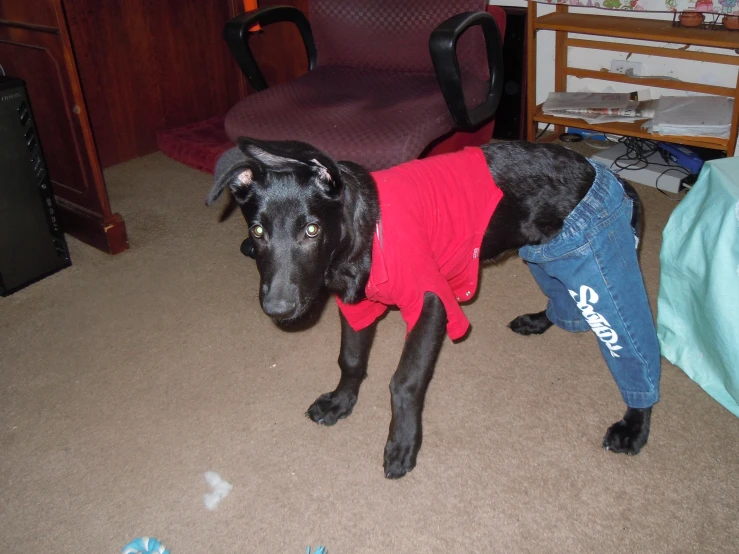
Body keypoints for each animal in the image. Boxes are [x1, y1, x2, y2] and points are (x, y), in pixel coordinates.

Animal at [207, 137, 652, 474]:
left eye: (312, 230)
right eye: (257, 232)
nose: (278, 308)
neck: (365, 228)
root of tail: (610, 177)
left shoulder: (431, 304)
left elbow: (403, 382)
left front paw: (402, 443)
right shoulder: (356, 306)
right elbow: (350, 359)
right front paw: (341, 402)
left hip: (594, 259)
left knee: (635, 348)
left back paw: (634, 426)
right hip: (548, 256)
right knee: (563, 300)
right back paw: (538, 321)